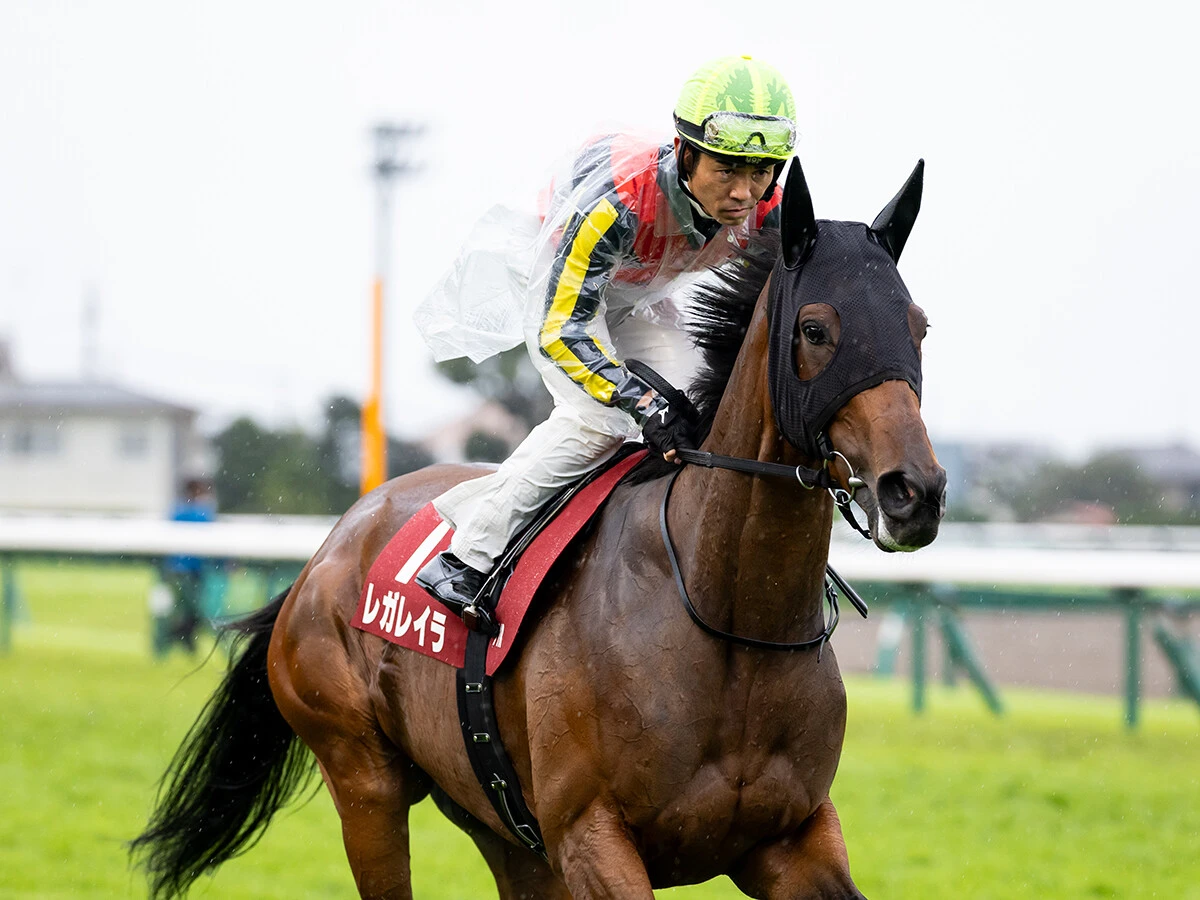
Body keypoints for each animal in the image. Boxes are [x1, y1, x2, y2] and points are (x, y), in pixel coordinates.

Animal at [132, 158, 946, 899]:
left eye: (919, 327)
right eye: (816, 329)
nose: (916, 492)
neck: (730, 622)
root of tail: (325, 553)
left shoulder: (792, 838)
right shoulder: (591, 838)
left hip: (497, 821)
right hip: (363, 778)